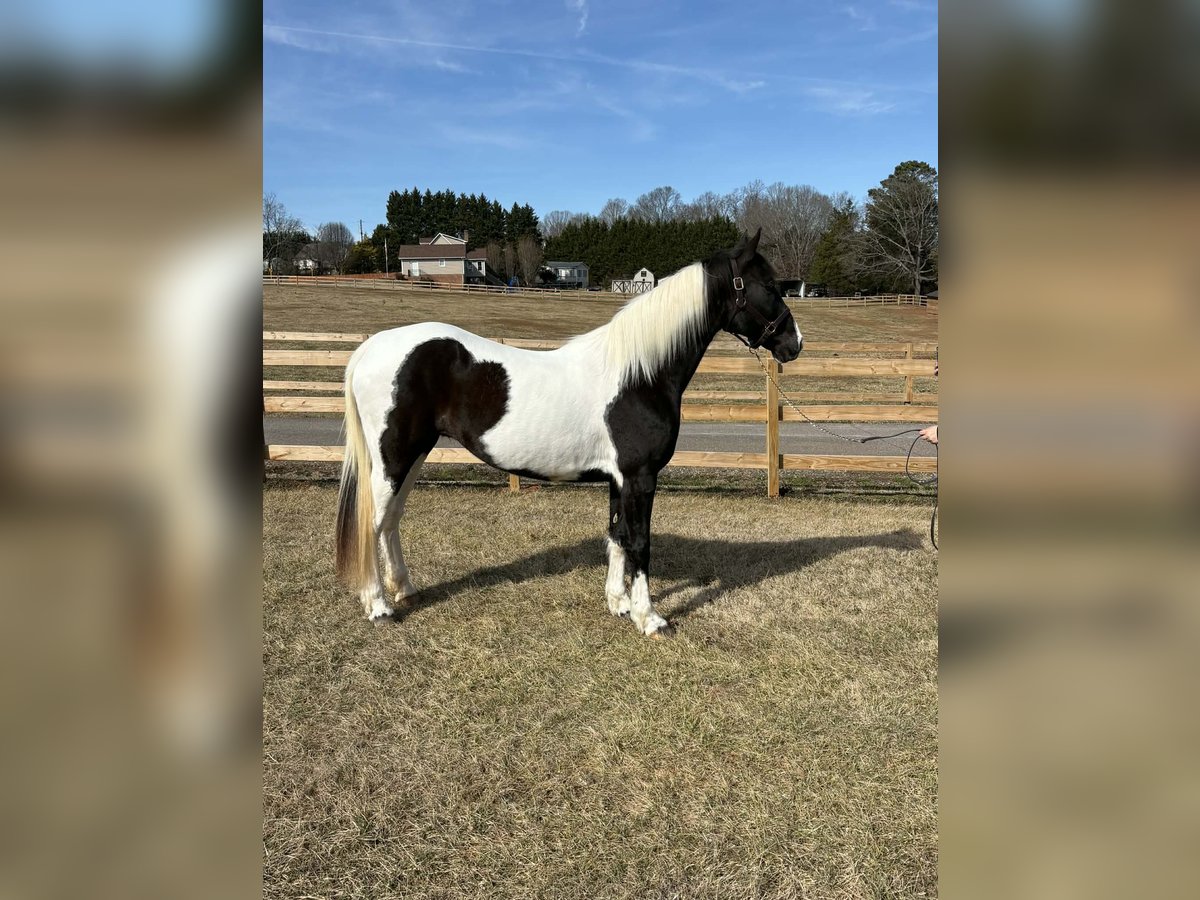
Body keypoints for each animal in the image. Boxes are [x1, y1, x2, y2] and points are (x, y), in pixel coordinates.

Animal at [334, 229, 802, 637]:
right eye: (768, 285)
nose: (794, 343)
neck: (639, 374)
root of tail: (371, 347)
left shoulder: (619, 479)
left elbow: (617, 535)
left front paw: (619, 604)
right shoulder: (640, 477)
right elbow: (640, 542)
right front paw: (649, 618)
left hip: (413, 455)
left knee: (390, 520)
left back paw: (404, 590)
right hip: (395, 457)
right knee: (372, 522)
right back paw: (378, 606)